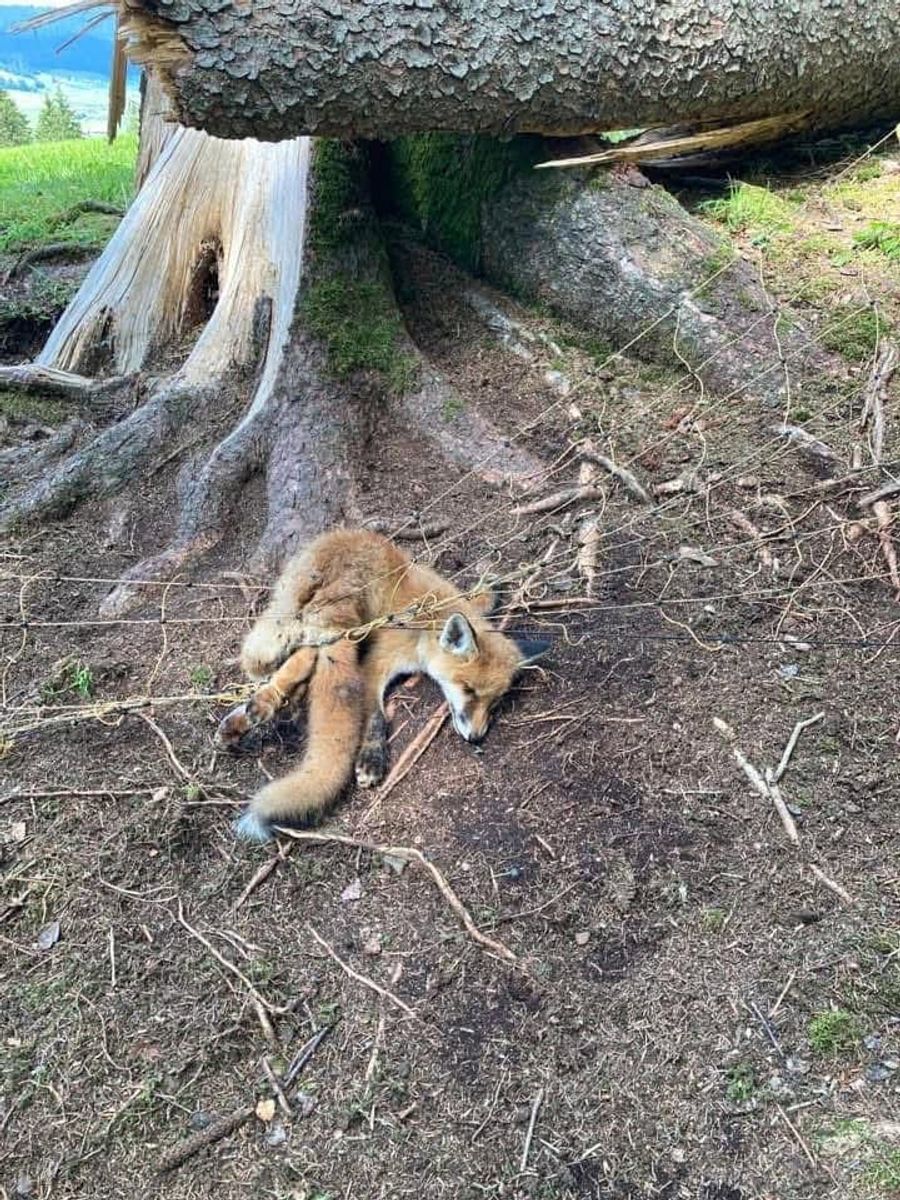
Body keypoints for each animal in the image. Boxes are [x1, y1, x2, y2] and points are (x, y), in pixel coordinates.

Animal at [215, 528, 549, 842]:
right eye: (469, 690)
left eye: (494, 703)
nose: (477, 737)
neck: (426, 621)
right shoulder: (375, 663)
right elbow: (376, 715)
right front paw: (372, 759)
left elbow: (482, 599)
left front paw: (490, 585)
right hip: (344, 628)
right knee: (297, 655)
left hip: (294, 625)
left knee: (282, 656)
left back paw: (257, 710)